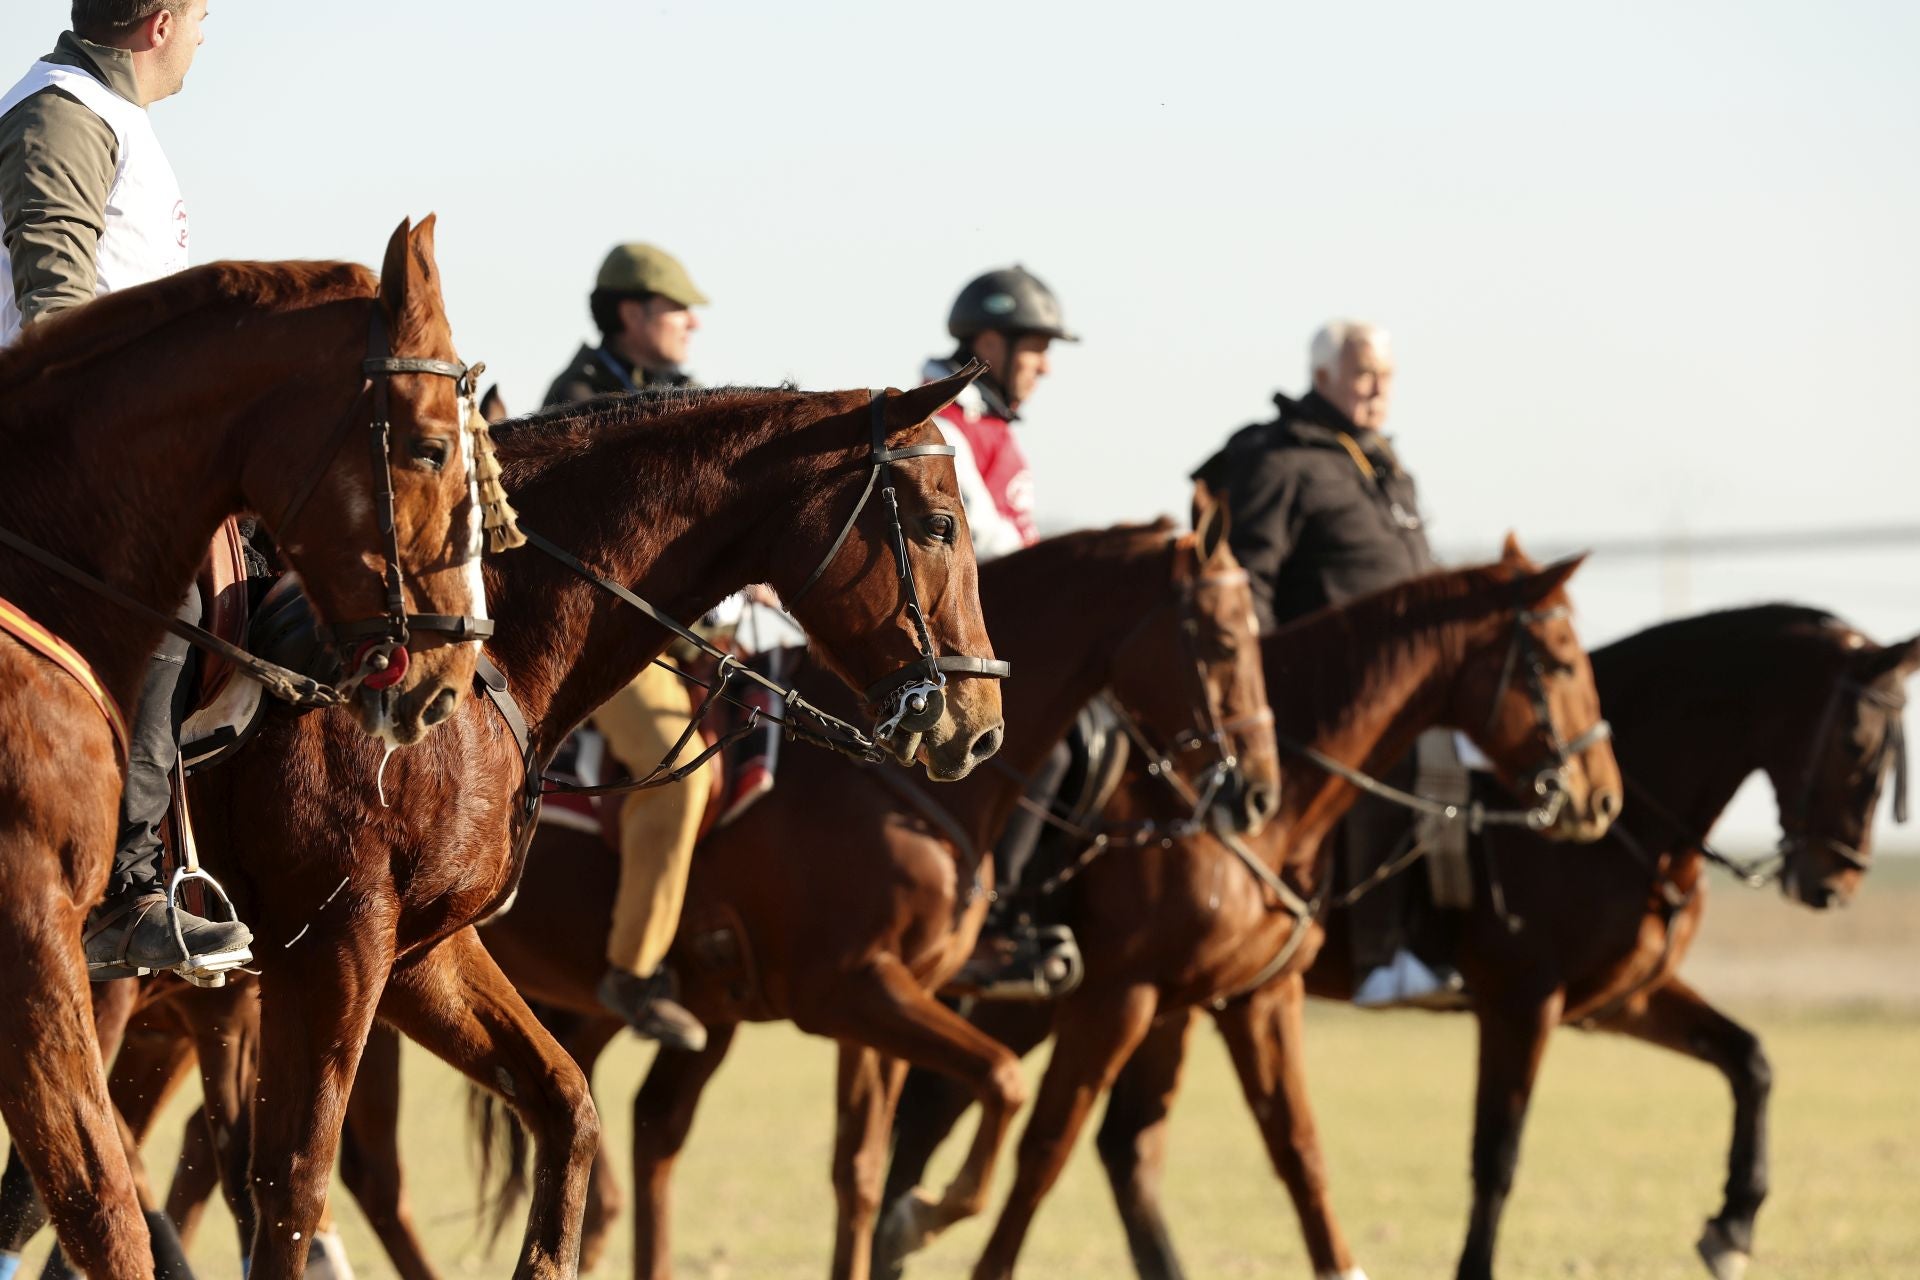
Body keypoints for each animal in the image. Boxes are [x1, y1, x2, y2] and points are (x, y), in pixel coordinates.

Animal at [176, 372, 1006, 1280]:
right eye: (939, 524)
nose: (981, 725)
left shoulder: (415, 949)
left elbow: (570, 1111)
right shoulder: (338, 942)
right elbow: (292, 1185)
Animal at [879, 541, 1620, 1280]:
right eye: (1560, 659)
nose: (1604, 798)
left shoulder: (1255, 996)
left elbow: (1298, 1147)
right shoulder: (1116, 997)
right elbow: (1046, 1148)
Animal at [1059, 606, 1912, 1280]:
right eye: (1858, 739)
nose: (1836, 881)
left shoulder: (1619, 1000)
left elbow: (1751, 1061)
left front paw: (1731, 1226)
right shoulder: (1523, 1001)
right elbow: (1497, 1153)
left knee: (1125, 1145)